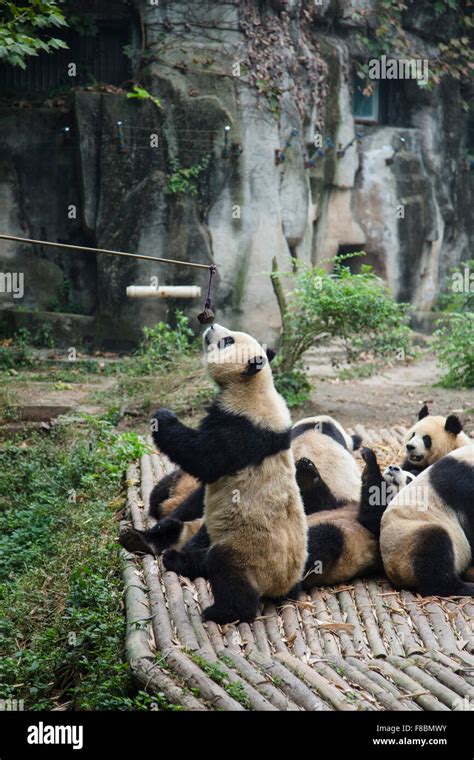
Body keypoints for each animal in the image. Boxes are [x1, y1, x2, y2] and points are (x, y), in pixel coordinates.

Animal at [120, 322, 308, 624]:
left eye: (227, 341)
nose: (210, 325)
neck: (254, 386)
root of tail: (285, 585)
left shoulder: (241, 427)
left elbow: (202, 457)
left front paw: (163, 418)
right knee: (175, 527)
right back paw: (143, 541)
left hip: (251, 552)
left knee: (227, 569)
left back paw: (221, 610)